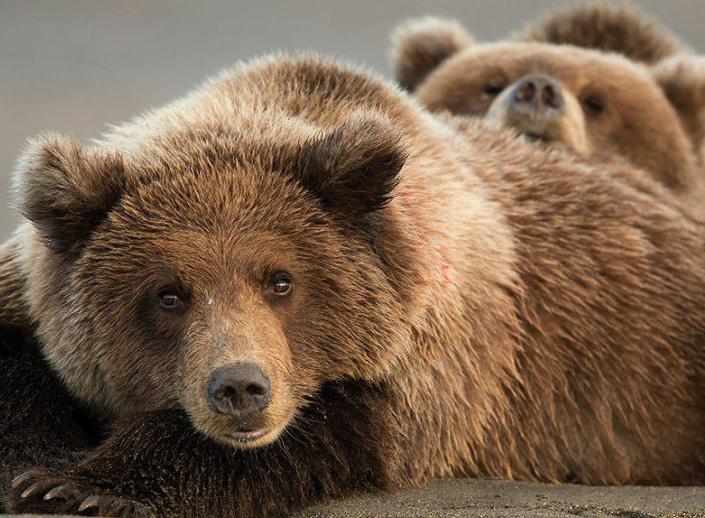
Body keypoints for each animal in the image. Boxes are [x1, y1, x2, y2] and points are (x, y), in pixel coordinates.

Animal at [1, 53, 704, 518]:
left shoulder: (437, 352)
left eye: (281, 281)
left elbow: (337, 427)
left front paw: (90, 486)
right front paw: (44, 469)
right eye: (168, 292)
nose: (240, 388)